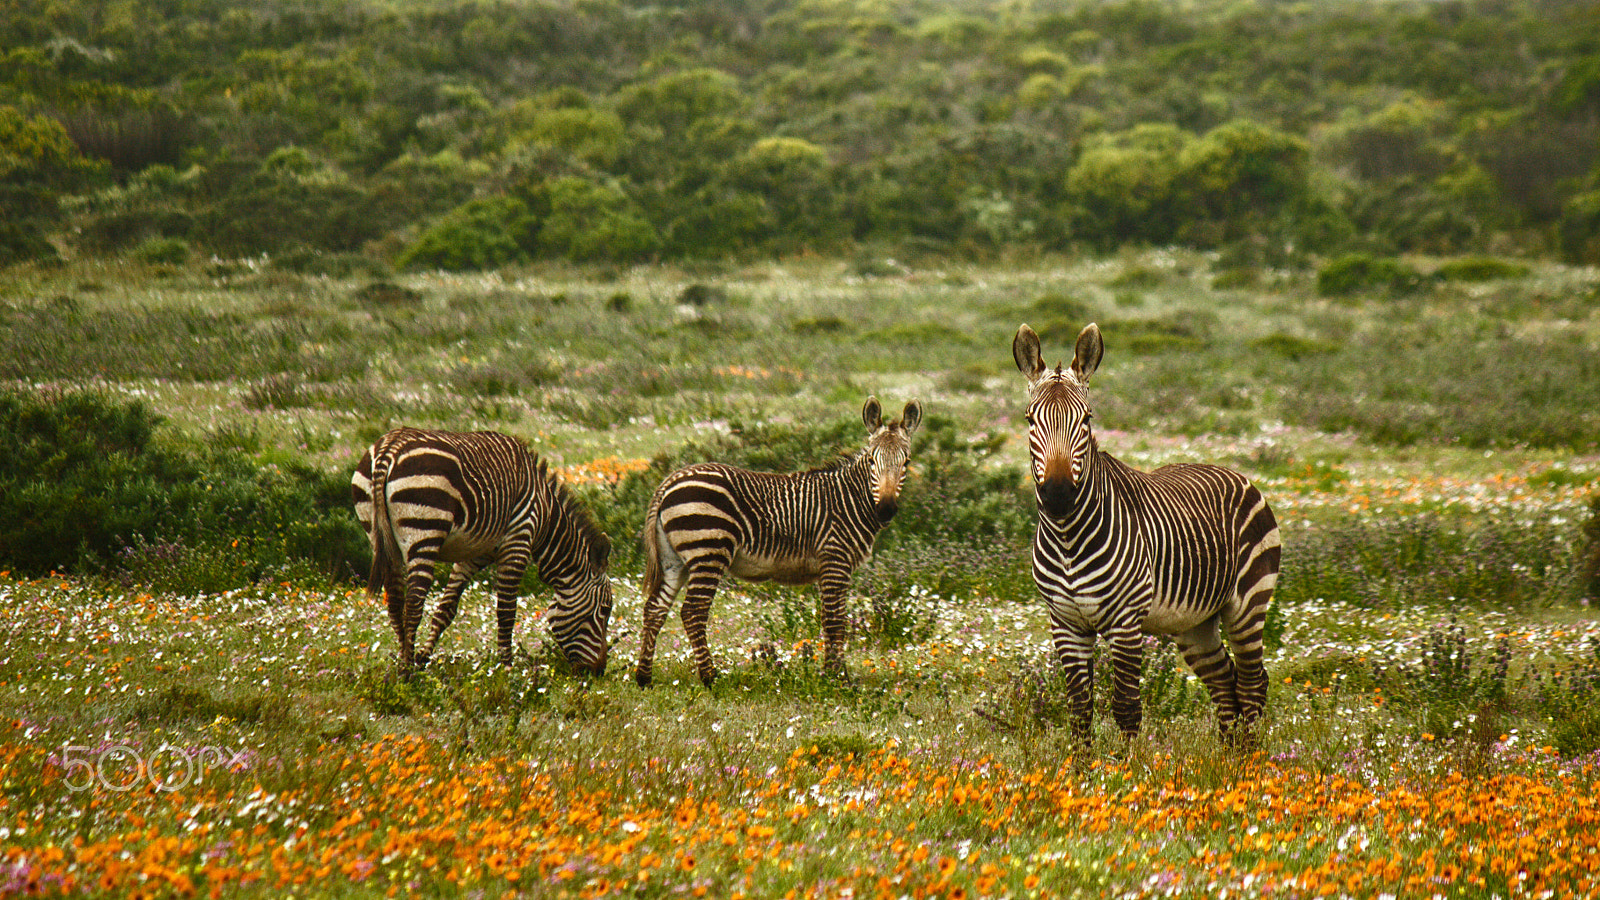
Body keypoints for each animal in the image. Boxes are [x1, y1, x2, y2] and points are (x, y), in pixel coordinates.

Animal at [353, 425, 614, 672]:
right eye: (605, 609)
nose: (598, 671)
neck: (546, 516)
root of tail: (389, 447)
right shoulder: (518, 539)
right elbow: (507, 611)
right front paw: (507, 669)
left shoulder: (475, 554)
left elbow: (446, 609)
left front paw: (423, 659)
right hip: (425, 528)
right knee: (414, 602)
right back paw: (407, 672)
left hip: (380, 535)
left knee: (395, 602)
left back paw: (403, 663)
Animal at [630, 395, 921, 682]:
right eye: (872, 461)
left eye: (906, 463)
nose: (886, 509)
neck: (850, 499)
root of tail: (668, 482)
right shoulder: (835, 559)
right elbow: (835, 621)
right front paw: (837, 678)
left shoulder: (835, 566)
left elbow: (832, 618)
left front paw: (832, 674)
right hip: (708, 550)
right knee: (693, 611)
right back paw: (711, 678)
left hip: (674, 559)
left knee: (655, 608)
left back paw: (644, 677)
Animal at [1011, 321, 1286, 743]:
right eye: (1030, 420)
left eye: (1086, 420)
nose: (1058, 496)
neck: (1067, 537)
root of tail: (1233, 471)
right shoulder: (1066, 624)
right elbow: (1079, 712)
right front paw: (1080, 765)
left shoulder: (1125, 622)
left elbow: (1126, 708)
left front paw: (1125, 764)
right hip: (1194, 623)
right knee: (1226, 684)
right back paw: (1228, 761)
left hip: (1247, 604)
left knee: (1252, 684)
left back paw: (1250, 761)